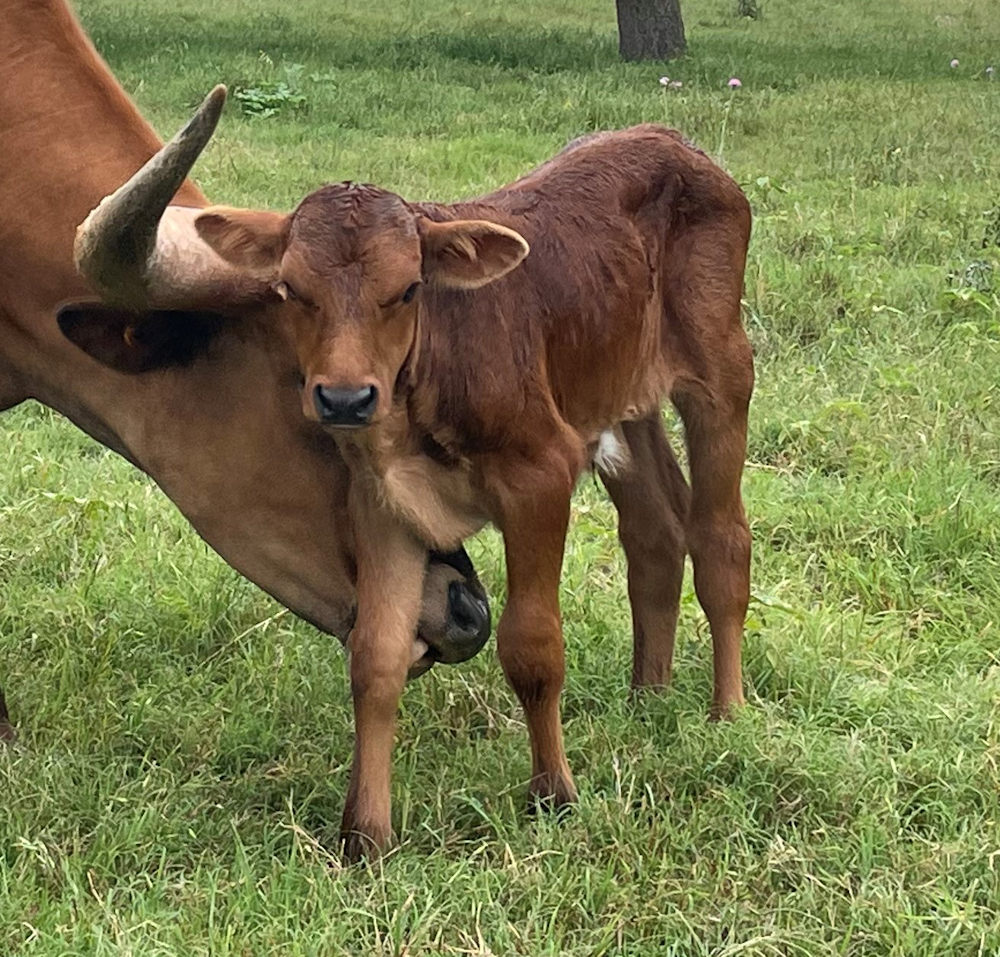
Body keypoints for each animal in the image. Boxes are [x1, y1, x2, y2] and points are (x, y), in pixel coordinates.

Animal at [63, 89, 754, 859]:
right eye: (291, 289)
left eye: (409, 289)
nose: (344, 397)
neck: (416, 401)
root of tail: (674, 142)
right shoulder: (382, 505)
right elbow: (376, 656)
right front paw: (365, 833)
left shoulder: (540, 474)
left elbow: (533, 645)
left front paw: (554, 794)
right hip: (619, 396)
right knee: (656, 529)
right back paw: (648, 697)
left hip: (722, 369)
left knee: (722, 537)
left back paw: (726, 713)